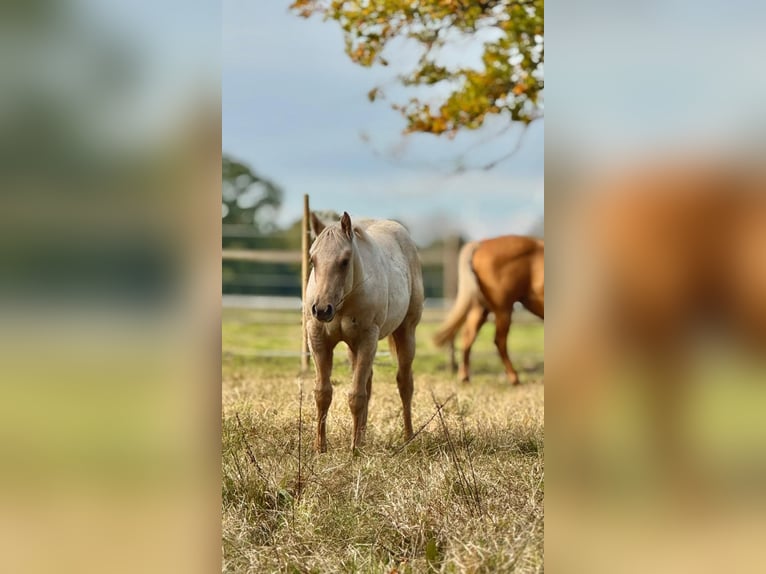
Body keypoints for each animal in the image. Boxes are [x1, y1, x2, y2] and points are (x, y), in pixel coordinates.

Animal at [305, 211, 424, 452]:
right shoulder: (318, 338)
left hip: (406, 332)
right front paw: (320, 447)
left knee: (404, 384)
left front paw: (354, 451)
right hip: (353, 347)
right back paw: (363, 436)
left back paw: (408, 437)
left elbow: (356, 395)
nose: (321, 309)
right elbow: (323, 393)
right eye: (312, 259)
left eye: (344, 261)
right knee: (368, 383)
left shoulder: (368, 339)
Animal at [433, 235, 544, 385]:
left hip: (480, 307)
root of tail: (481, 243)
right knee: (499, 341)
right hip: (503, 309)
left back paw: (464, 376)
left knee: (468, 336)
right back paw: (514, 378)